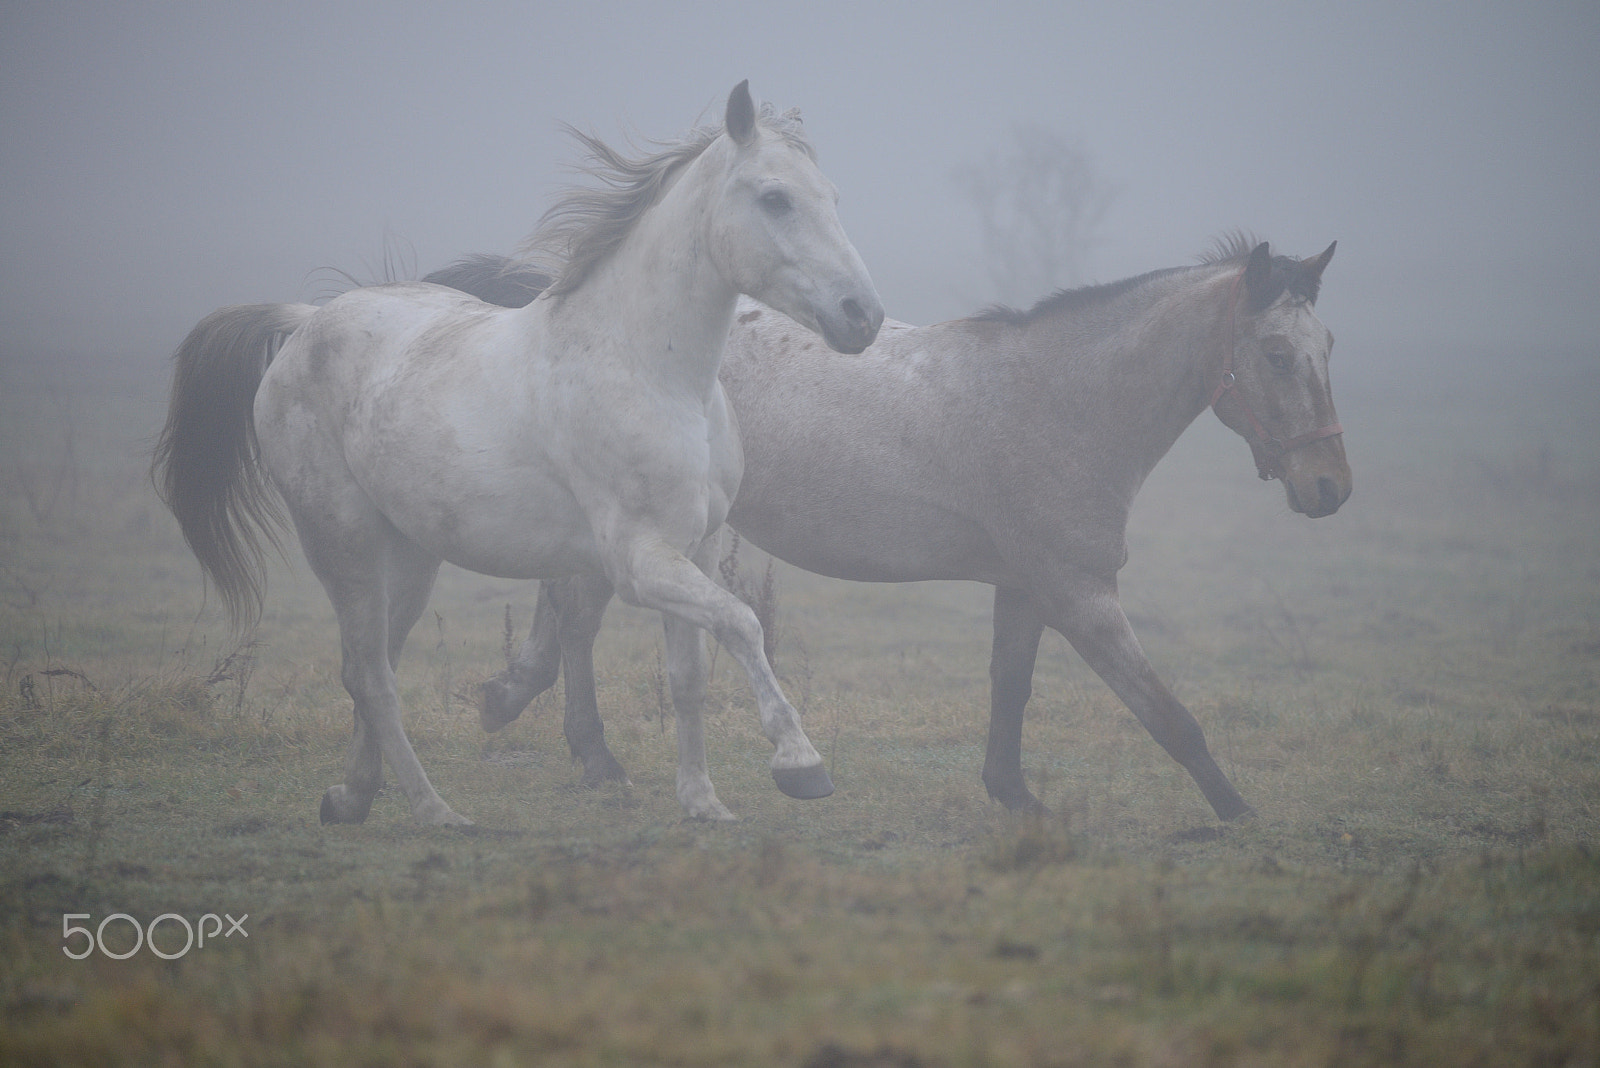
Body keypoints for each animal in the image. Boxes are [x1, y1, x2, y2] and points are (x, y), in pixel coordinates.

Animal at [154, 83, 883, 831]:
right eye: (775, 198)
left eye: (830, 195)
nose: (863, 316)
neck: (649, 368)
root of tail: (304, 323)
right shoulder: (639, 560)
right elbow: (742, 624)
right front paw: (800, 764)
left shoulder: (697, 550)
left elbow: (690, 676)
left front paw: (703, 801)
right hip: (342, 540)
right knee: (373, 677)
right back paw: (435, 811)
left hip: (410, 553)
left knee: (371, 665)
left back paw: (351, 797)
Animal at [435, 233, 1350, 824]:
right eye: (1276, 354)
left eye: (1330, 345)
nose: (1331, 488)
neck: (1064, 400)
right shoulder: (1082, 597)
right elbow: (1166, 712)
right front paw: (1238, 812)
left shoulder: (1026, 588)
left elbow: (1010, 686)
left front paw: (1012, 794)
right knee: (576, 615)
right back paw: (591, 753)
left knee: (565, 609)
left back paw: (521, 705)